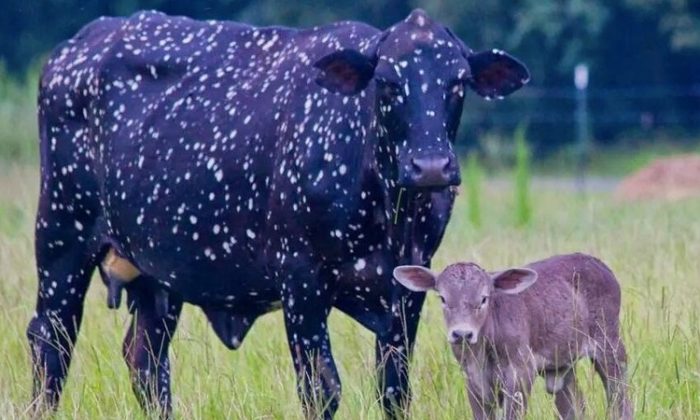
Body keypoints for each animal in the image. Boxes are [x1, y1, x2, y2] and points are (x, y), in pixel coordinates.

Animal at [27, 9, 529, 419]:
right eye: (387, 82)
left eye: (458, 82)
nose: (430, 166)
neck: (388, 212)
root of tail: (81, 43)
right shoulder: (301, 280)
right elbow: (322, 388)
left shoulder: (409, 288)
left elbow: (394, 389)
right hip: (61, 239)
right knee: (50, 341)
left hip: (157, 275)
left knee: (146, 362)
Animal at [394, 253, 633, 420]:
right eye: (443, 298)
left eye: (484, 298)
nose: (462, 333)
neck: (482, 353)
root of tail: (598, 264)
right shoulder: (473, 382)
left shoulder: (520, 374)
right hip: (561, 366)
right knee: (575, 407)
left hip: (610, 346)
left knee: (620, 400)